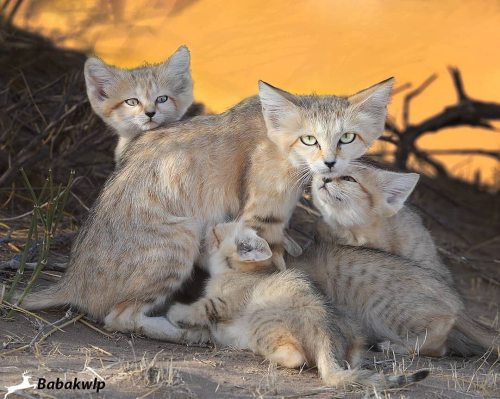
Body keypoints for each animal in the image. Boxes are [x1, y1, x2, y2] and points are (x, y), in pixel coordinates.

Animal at [21, 78, 392, 344]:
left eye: (347, 137)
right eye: (309, 139)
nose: (330, 163)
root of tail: (72, 278)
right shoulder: (260, 215)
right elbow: (263, 263)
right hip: (179, 239)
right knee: (119, 317)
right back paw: (185, 332)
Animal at [168, 220, 430, 390]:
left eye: (214, 232)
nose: (204, 231)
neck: (234, 272)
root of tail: (326, 334)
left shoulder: (222, 302)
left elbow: (200, 308)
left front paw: (174, 310)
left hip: (261, 321)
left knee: (295, 357)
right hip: (353, 331)